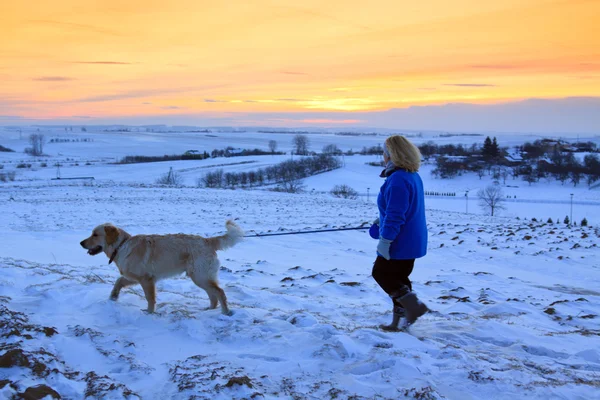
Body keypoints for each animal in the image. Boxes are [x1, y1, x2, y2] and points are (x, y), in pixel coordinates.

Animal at [80, 219, 244, 316]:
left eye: (95, 235)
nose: (81, 243)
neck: (121, 246)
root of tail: (207, 240)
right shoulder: (134, 277)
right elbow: (119, 281)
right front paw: (113, 297)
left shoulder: (146, 279)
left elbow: (150, 298)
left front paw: (149, 313)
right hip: (200, 277)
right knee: (213, 295)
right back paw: (208, 310)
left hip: (200, 276)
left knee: (219, 292)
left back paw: (225, 312)